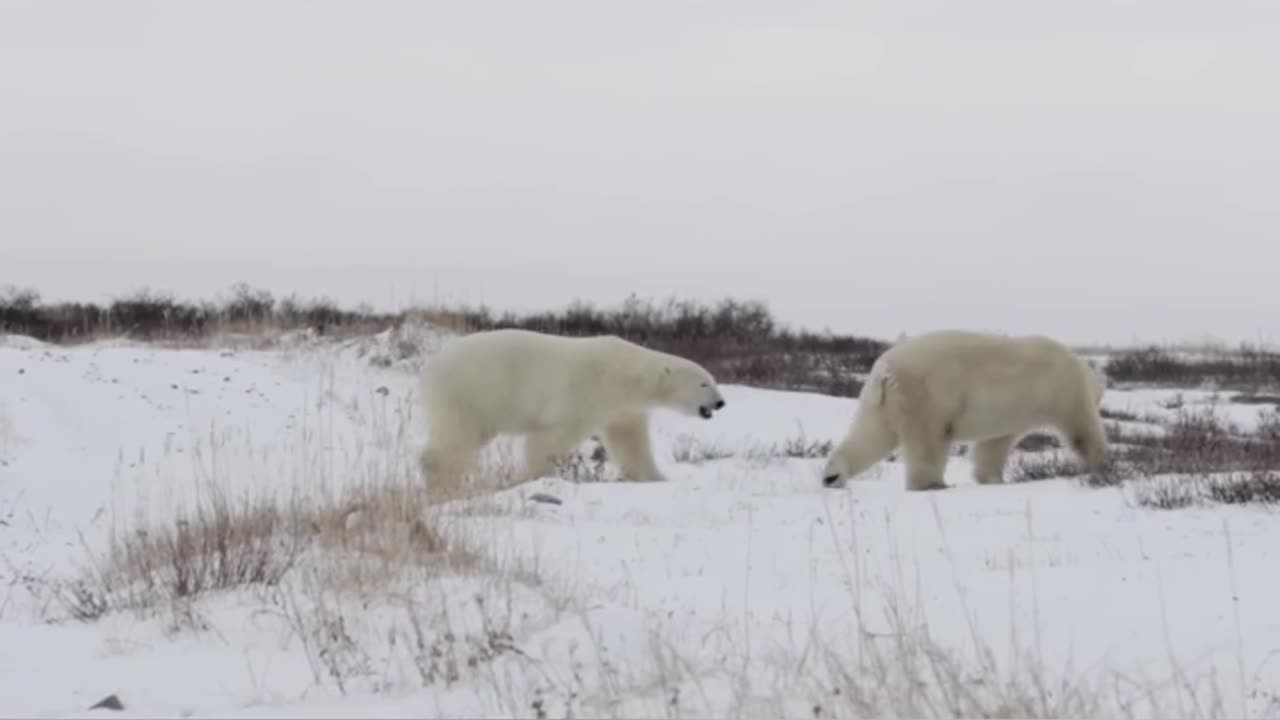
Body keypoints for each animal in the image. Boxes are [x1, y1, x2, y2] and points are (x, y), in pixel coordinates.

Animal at [414, 326, 727, 499]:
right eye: (704, 383)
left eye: (713, 380)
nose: (720, 403)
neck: (627, 373)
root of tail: (430, 367)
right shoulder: (589, 392)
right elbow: (552, 437)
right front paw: (539, 476)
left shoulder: (623, 408)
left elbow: (630, 442)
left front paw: (655, 478)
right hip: (471, 392)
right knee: (456, 438)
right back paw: (442, 483)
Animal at [819, 327, 1111, 489]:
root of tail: (884, 369)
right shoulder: (1063, 391)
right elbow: (1082, 430)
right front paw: (1099, 467)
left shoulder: (1010, 413)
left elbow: (993, 445)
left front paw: (991, 478)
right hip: (926, 395)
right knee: (928, 440)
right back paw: (933, 484)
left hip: (883, 401)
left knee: (872, 434)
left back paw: (832, 475)